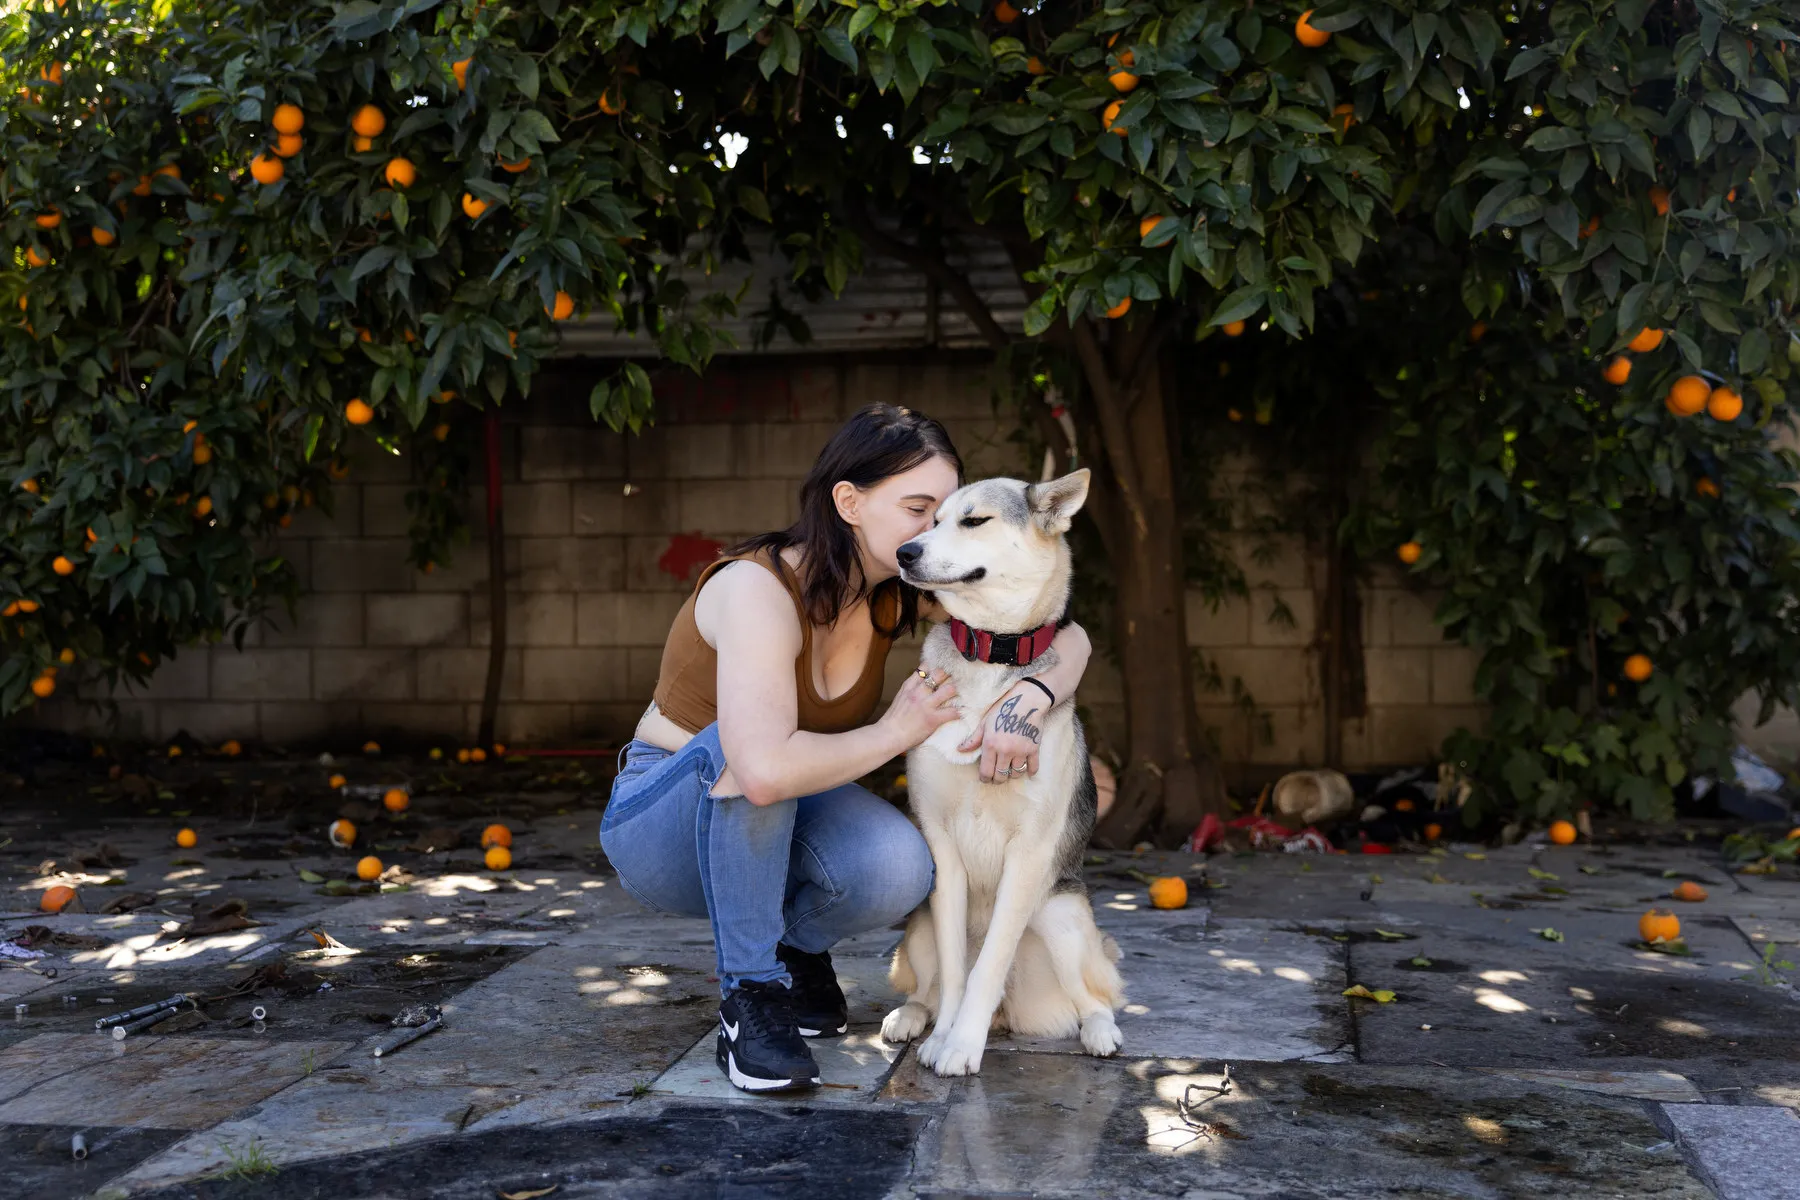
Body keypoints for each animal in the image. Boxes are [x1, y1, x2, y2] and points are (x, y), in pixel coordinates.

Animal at [874, 467, 1116, 1079]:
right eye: (931, 519)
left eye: (974, 520)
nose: (905, 552)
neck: (991, 653)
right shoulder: (940, 847)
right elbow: (959, 967)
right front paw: (944, 1037)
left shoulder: (1028, 854)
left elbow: (986, 965)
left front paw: (962, 1045)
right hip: (917, 929)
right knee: (928, 985)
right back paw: (912, 1017)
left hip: (1061, 917)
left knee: (1095, 995)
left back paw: (1100, 1031)